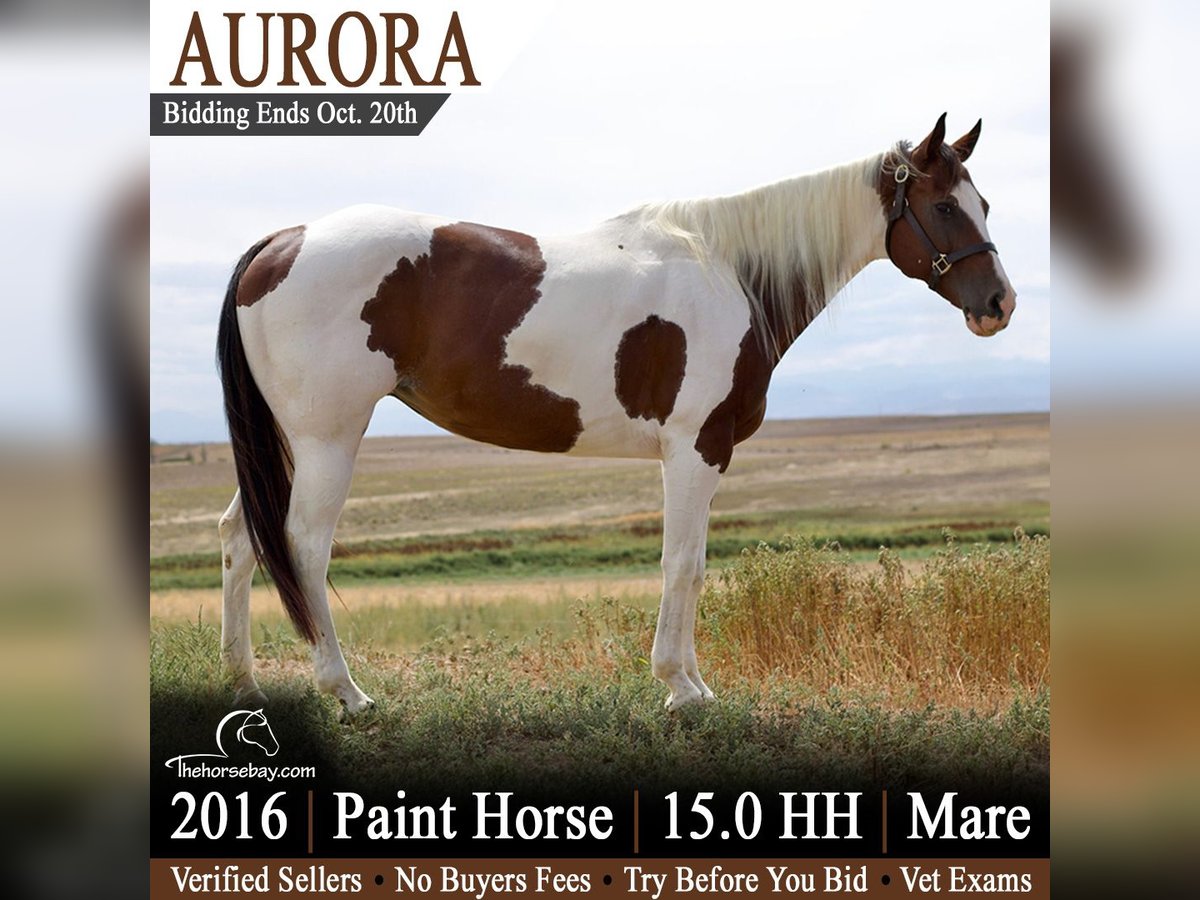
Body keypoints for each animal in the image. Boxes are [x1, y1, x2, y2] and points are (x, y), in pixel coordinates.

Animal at [215, 114, 1015, 715]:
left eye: (983, 205)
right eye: (945, 206)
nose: (999, 305)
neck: (731, 272)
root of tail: (285, 241)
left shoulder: (699, 453)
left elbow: (691, 565)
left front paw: (691, 683)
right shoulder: (696, 447)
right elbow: (682, 563)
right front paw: (681, 688)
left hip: (290, 442)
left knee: (241, 538)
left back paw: (244, 684)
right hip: (328, 439)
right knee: (304, 545)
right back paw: (346, 692)